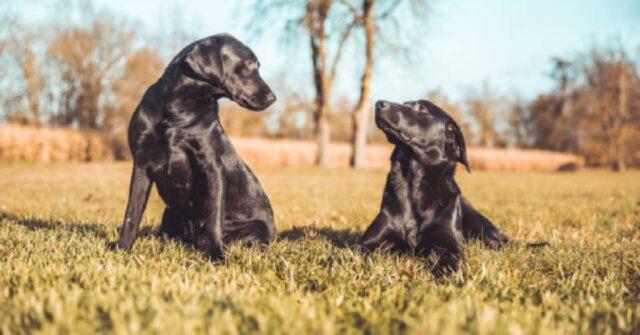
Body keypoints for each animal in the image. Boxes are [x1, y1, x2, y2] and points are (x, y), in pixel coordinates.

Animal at [108, 33, 278, 260]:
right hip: (170, 212)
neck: (178, 108)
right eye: (250, 63)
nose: (273, 98)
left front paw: (215, 254)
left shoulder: (212, 165)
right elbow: (131, 214)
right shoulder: (141, 164)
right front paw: (122, 248)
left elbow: (213, 216)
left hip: (257, 228)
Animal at [362, 99, 508, 276]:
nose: (378, 103)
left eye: (422, 108)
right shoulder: (370, 241)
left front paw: (443, 273)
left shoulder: (450, 244)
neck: (415, 181)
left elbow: (450, 261)